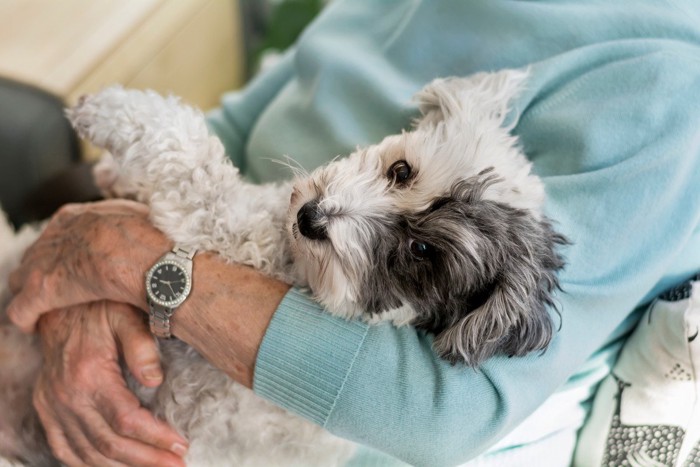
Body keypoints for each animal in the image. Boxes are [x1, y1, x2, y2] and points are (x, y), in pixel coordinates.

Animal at [0, 67, 568, 466]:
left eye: (422, 252)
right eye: (402, 170)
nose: (310, 217)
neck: (296, 262)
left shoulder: (224, 223)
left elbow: (191, 151)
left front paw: (108, 111)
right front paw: (115, 175)